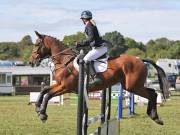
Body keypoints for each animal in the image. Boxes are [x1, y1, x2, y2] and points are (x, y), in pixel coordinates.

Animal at [28, 31, 168, 125]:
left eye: (37, 45)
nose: (31, 62)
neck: (64, 61)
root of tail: (140, 60)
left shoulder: (66, 87)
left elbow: (48, 95)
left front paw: (42, 114)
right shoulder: (60, 85)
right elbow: (44, 90)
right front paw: (37, 107)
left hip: (133, 86)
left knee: (153, 94)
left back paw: (155, 117)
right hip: (133, 85)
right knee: (152, 93)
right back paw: (154, 116)